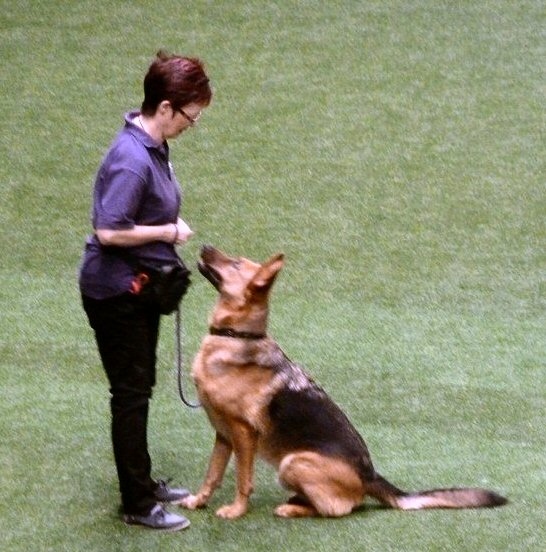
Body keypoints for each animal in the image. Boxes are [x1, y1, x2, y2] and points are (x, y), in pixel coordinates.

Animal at [182, 244, 506, 520]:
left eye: (235, 263)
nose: (204, 245)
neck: (236, 336)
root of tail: (369, 475)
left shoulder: (243, 434)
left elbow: (243, 479)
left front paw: (236, 510)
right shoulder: (223, 434)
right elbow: (212, 474)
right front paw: (198, 501)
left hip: (292, 463)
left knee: (340, 508)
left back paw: (293, 508)